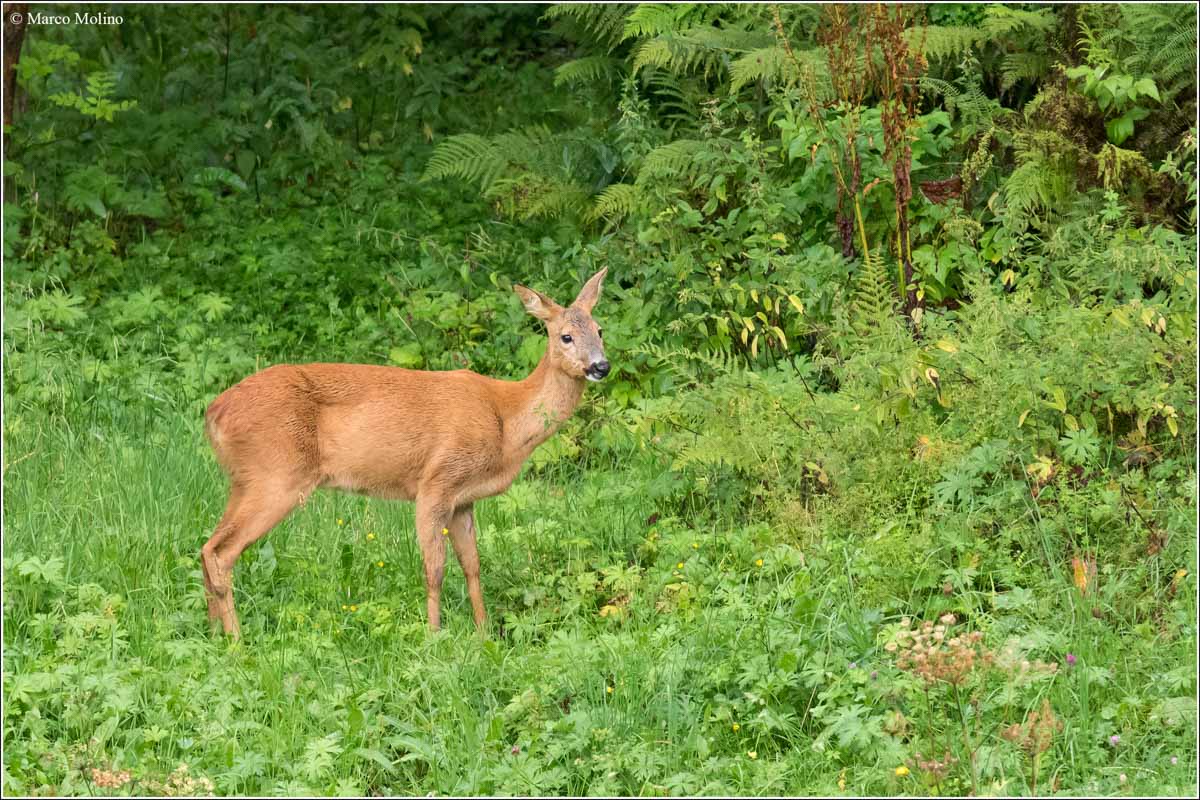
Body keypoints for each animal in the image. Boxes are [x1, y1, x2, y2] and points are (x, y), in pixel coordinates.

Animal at [201, 268, 609, 638]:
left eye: (600, 329)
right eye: (566, 336)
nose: (601, 366)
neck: (506, 420)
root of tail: (214, 412)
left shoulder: (463, 499)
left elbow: (472, 565)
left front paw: (484, 633)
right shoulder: (435, 482)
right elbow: (435, 568)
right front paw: (433, 635)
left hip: (246, 480)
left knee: (208, 547)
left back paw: (214, 633)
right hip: (277, 475)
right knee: (220, 552)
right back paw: (237, 641)